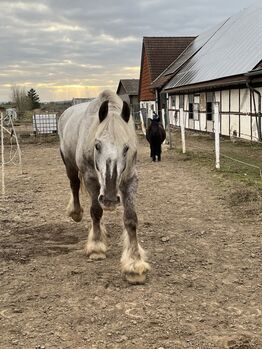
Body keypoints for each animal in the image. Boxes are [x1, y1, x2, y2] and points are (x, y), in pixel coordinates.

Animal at [58, 89, 150, 282]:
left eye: (126, 148)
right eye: (97, 145)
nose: (109, 199)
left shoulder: (130, 180)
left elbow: (131, 219)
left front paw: (134, 264)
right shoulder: (91, 180)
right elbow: (95, 212)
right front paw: (96, 247)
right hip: (69, 165)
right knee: (74, 185)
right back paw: (76, 212)